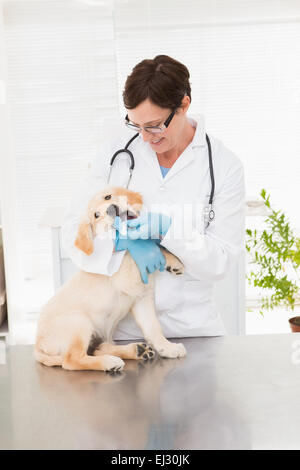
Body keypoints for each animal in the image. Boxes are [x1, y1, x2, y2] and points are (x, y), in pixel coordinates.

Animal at [34, 185, 185, 372]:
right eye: (96, 215)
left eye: (108, 197)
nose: (110, 209)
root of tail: (37, 346)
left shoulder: (143, 298)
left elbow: (153, 327)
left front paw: (168, 347)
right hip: (79, 322)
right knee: (71, 360)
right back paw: (110, 362)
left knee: (99, 348)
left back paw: (137, 350)